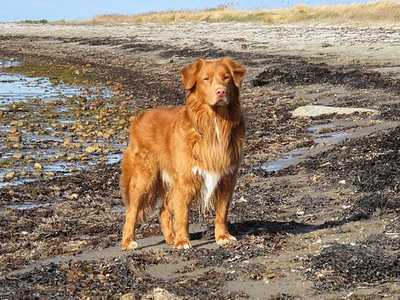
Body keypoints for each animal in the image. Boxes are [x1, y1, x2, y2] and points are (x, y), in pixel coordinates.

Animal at [120, 57, 245, 250]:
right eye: (206, 79)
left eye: (226, 78)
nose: (221, 92)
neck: (214, 122)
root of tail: (139, 117)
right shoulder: (185, 180)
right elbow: (183, 215)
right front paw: (182, 241)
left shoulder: (227, 178)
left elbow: (222, 212)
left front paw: (222, 236)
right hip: (144, 177)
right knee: (131, 211)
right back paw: (128, 241)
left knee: (163, 210)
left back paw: (170, 238)